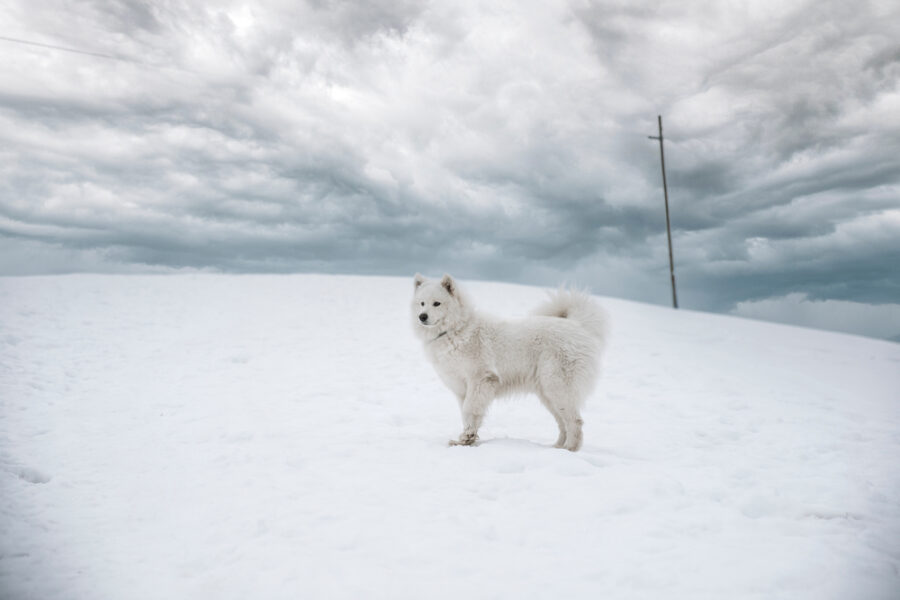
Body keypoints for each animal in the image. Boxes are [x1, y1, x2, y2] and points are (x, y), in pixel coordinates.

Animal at [412, 272, 608, 450]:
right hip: (548, 393)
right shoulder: (462, 388)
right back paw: (557, 448)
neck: (456, 330)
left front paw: (466, 439)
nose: (422, 316)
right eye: (421, 303)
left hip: (557, 386)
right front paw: (466, 440)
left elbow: (470, 409)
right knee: (562, 422)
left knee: (575, 421)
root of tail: (579, 326)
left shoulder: (481, 379)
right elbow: (467, 415)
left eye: (437, 303)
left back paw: (570, 449)